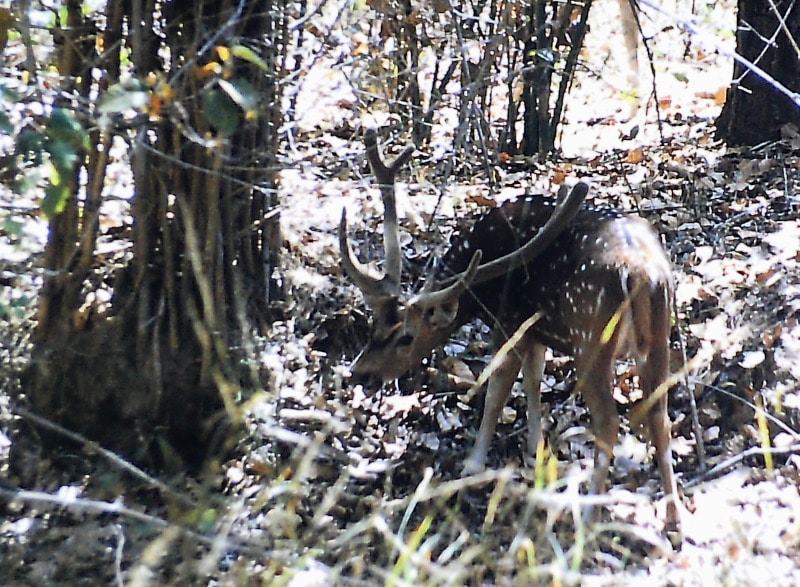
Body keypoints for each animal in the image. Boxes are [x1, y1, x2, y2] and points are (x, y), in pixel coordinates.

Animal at [338, 130, 680, 532]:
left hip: (592, 337)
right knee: (660, 417)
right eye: (374, 324)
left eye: (406, 338)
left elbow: (496, 390)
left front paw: (472, 465)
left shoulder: (510, 321)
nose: (359, 373)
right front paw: (537, 450)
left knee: (609, 422)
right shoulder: (535, 329)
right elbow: (533, 380)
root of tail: (641, 275)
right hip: (659, 334)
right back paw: (674, 517)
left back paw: (590, 516)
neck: (482, 289)